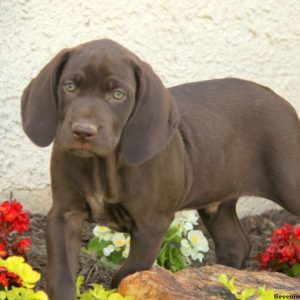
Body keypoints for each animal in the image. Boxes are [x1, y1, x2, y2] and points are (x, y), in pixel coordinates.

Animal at [21, 40, 300, 300]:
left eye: (118, 95)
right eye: (69, 87)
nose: (82, 131)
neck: (102, 165)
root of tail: (283, 103)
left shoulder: (151, 224)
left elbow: (127, 274)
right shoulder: (64, 214)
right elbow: (62, 274)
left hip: (290, 184)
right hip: (217, 201)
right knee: (236, 244)